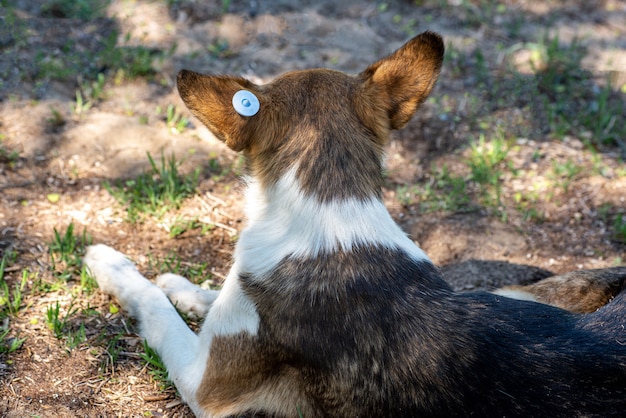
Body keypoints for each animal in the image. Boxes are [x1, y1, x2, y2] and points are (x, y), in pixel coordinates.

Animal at [84, 31, 624, 416]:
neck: (331, 211)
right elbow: (210, 294)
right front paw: (184, 286)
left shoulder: (204, 383)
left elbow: (155, 308)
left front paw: (110, 265)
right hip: (515, 297)